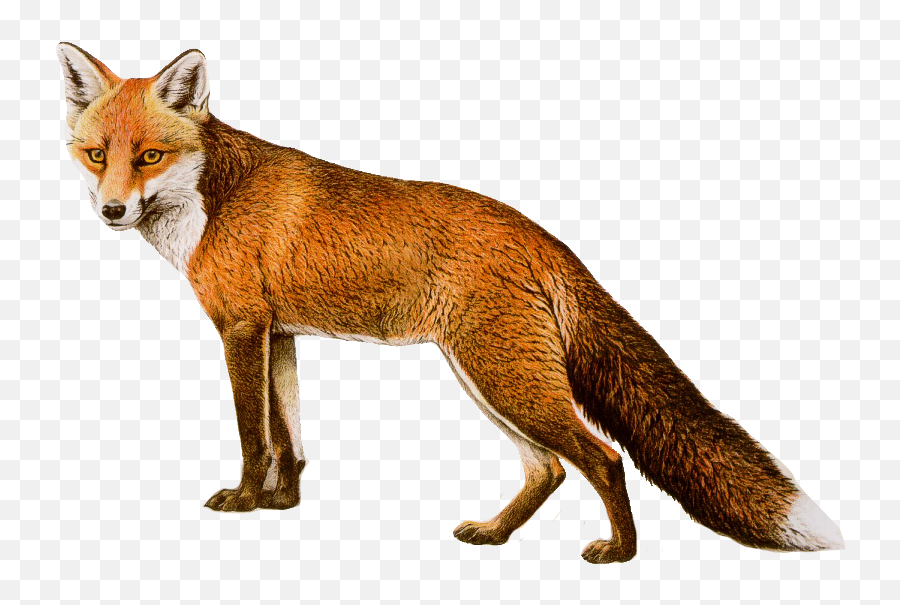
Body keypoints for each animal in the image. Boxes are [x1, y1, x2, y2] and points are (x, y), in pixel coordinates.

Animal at [56, 42, 844, 563]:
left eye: (150, 156)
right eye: (96, 155)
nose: (112, 210)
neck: (211, 201)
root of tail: (541, 236)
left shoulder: (242, 329)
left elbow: (255, 437)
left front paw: (247, 501)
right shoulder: (279, 334)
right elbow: (290, 437)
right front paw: (285, 504)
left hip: (503, 377)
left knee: (604, 457)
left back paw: (619, 553)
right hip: (487, 377)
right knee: (550, 469)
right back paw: (495, 534)